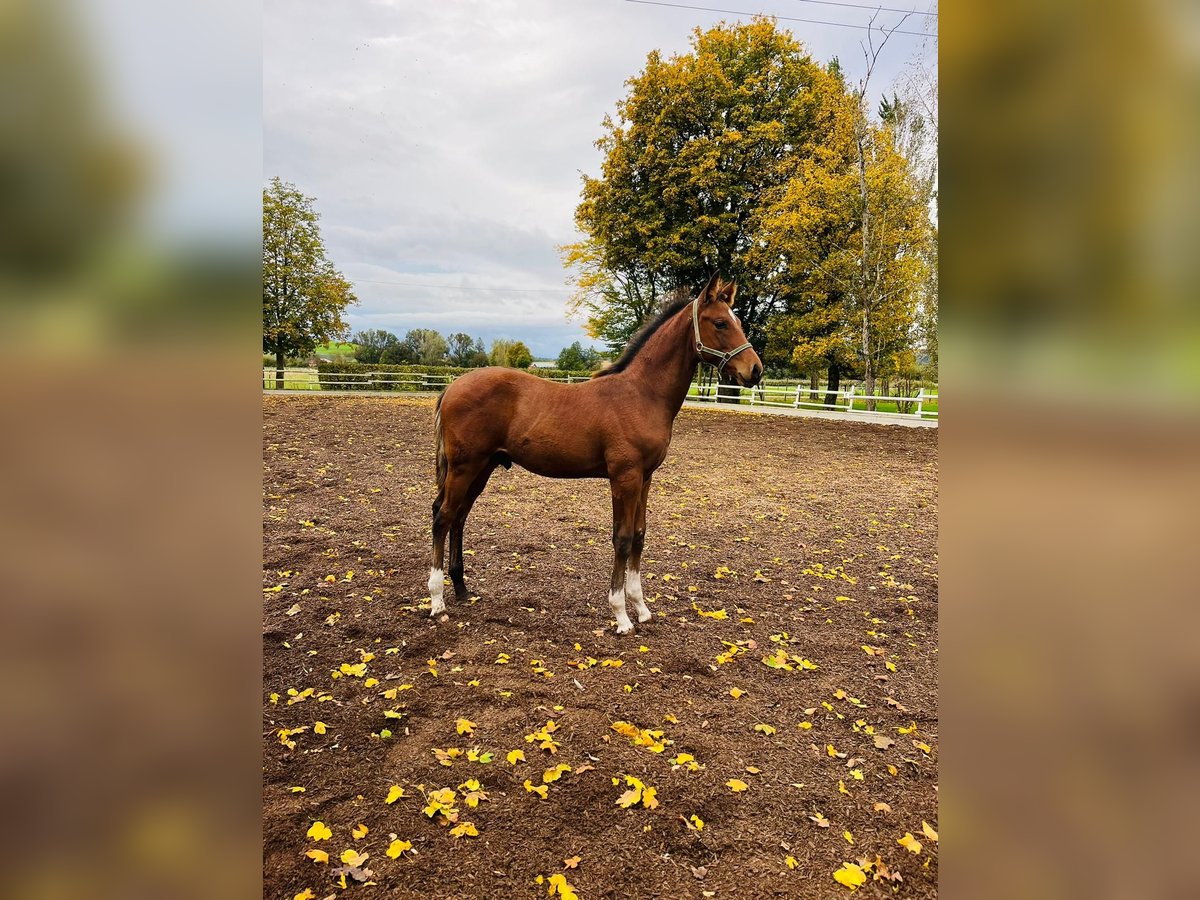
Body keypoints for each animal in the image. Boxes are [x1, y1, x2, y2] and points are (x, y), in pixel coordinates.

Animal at [427, 274, 758, 633]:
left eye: (738, 321)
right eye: (721, 323)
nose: (755, 370)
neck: (641, 394)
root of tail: (452, 387)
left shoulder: (645, 478)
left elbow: (639, 535)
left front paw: (641, 608)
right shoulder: (624, 477)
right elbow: (622, 538)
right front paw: (621, 615)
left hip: (482, 467)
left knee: (459, 516)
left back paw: (462, 589)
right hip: (464, 466)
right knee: (443, 516)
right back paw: (437, 602)